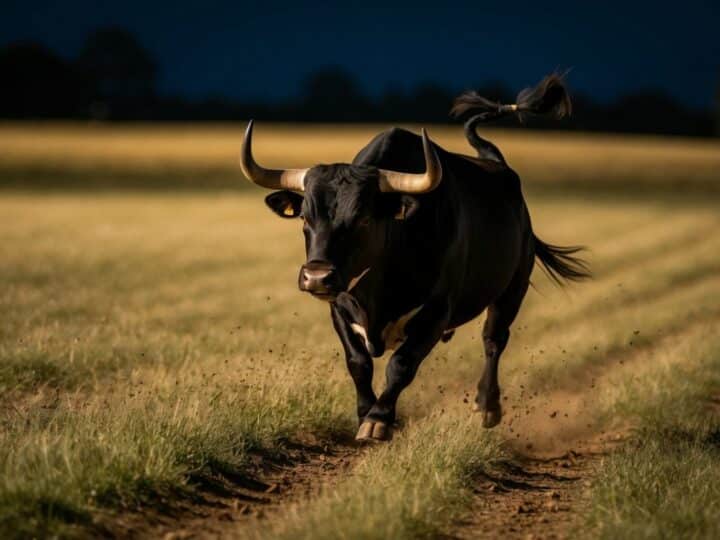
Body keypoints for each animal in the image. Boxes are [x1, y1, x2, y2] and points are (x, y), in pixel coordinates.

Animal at [239, 75, 588, 442]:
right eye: (305, 218)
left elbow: (402, 365)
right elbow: (358, 363)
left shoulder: (436, 312)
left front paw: (378, 419)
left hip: (511, 289)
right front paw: (365, 412)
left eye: (364, 219)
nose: (317, 277)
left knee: (494, 340)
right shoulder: (340, 308)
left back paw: (487, 406)